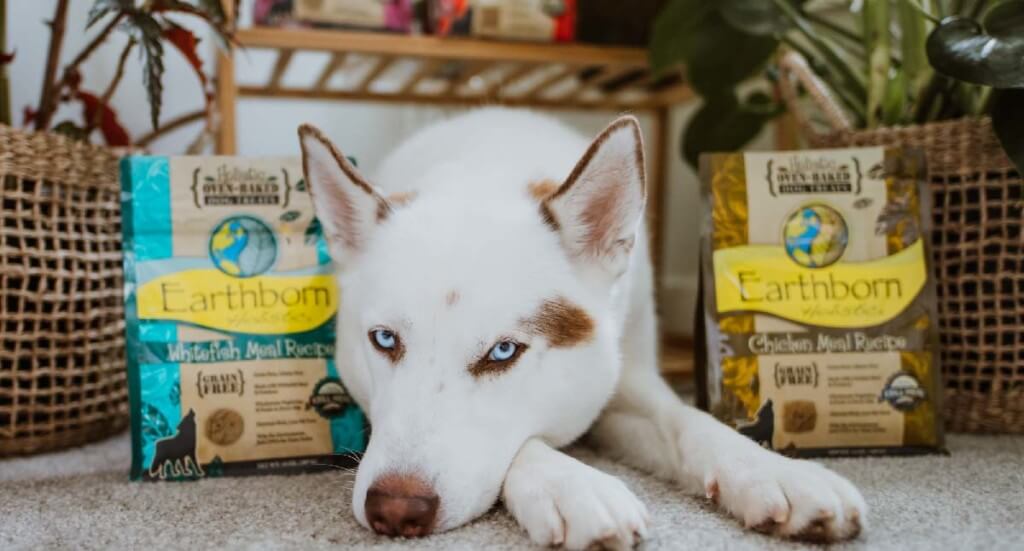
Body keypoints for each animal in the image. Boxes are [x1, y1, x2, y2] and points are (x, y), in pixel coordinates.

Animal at [294, 107, 864, 544]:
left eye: (503, 352)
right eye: (384, 340)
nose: (395, 509)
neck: (487, 169)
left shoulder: (624, 376)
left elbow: (686, 420)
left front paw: (773, 470)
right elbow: (527, 441)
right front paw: (572, 486)